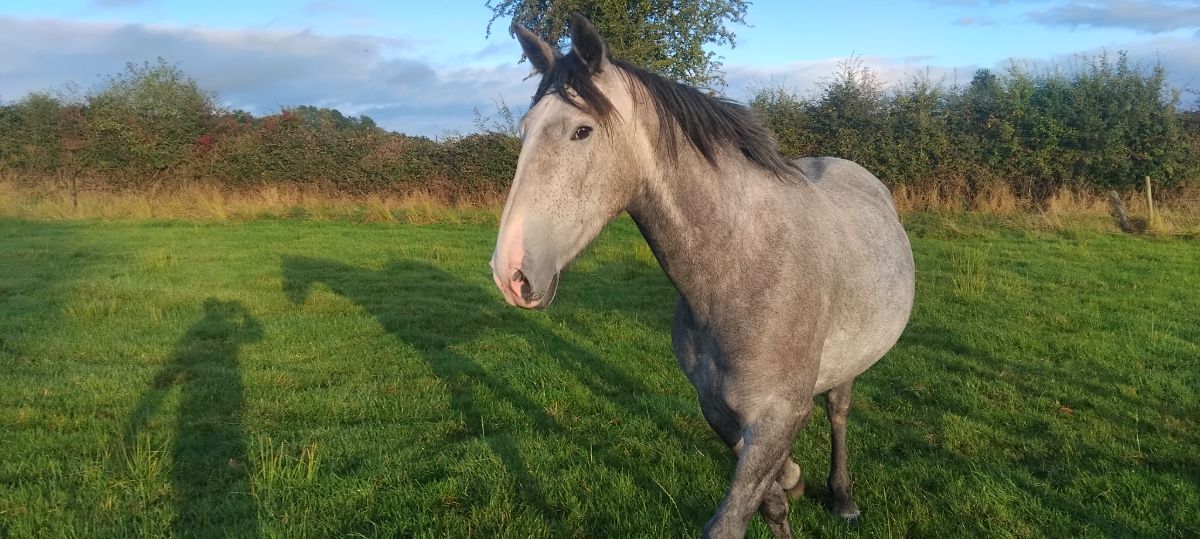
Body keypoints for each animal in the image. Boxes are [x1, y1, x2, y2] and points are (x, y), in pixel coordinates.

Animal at [490, 14, 915, 538]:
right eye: (525, 129)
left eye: (581, 131)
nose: (510, 273)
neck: (739, 271)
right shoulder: (719, 410)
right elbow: (771, 503)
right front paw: (790, 480)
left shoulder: (778, 415)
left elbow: (729, 521)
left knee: (838, 411)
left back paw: (843, 497)